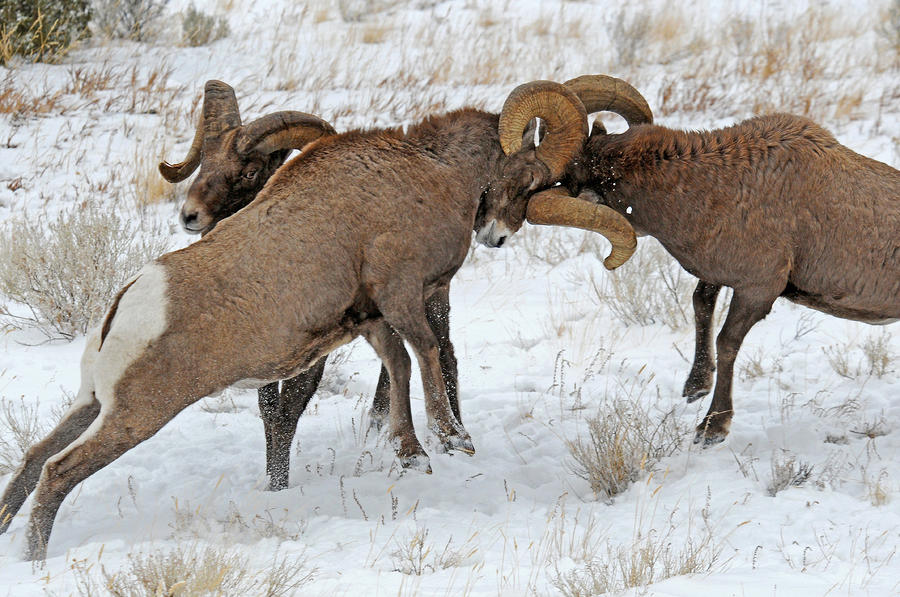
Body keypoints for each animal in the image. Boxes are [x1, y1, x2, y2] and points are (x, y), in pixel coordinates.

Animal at [158, 80, 460, 488]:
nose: (190, 215)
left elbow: (288, 414)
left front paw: (279, 486)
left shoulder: (312, 357)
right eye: (205, 161)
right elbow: (270, 413)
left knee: (443, 356)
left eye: (250, 172)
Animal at [478, 74, 900, 444]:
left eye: (532, 181)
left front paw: (712, 428)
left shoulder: (758, 291)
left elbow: (727, 343)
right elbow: (701, 306)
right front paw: (695, 387)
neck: (713, 187)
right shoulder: (719, 277)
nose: (487, 233)